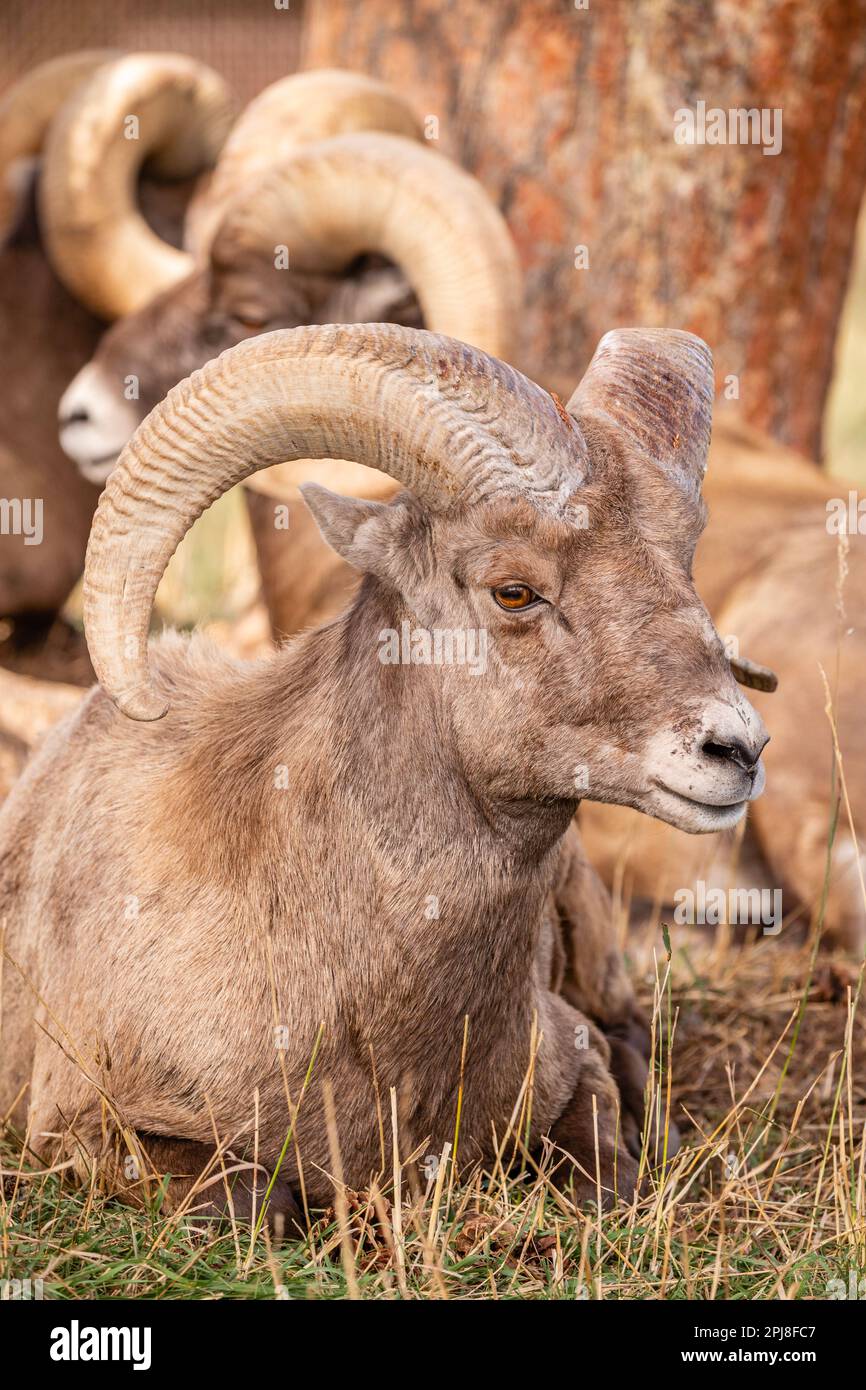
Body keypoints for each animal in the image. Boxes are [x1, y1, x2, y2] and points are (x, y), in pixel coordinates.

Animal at [0, 319, 767, 1212]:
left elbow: (602, 1176)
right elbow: (259, 1205)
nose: (737, 749)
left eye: (683, 566)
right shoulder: (89, 1134)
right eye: (514, 591)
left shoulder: (573, 1063)